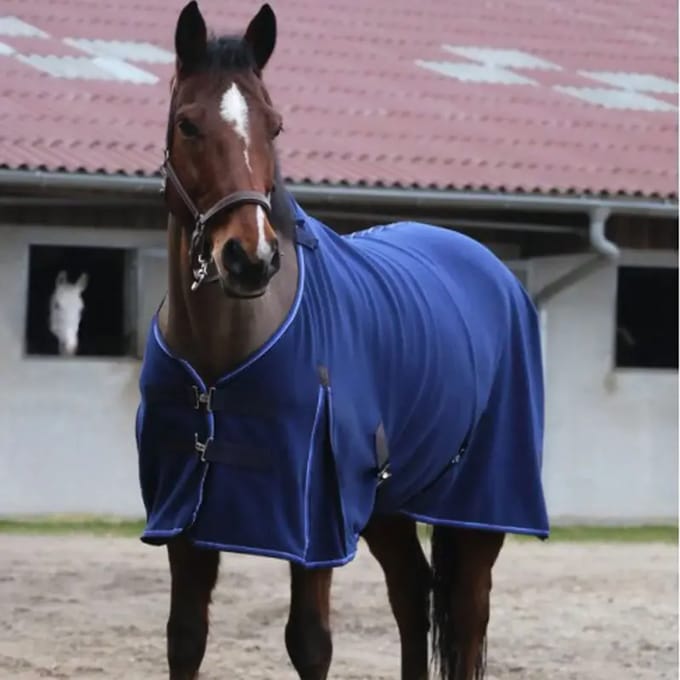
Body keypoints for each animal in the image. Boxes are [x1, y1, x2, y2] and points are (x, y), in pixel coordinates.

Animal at [135, 3, 550, 679]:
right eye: (188, 124)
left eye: (274, 125)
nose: (250, 259)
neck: (222, 357)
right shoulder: (184, 519)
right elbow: (185, 638)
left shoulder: (313, 525)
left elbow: (309, 641)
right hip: (387, 503)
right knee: (411, 593)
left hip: (481, 503)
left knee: (466, 614)